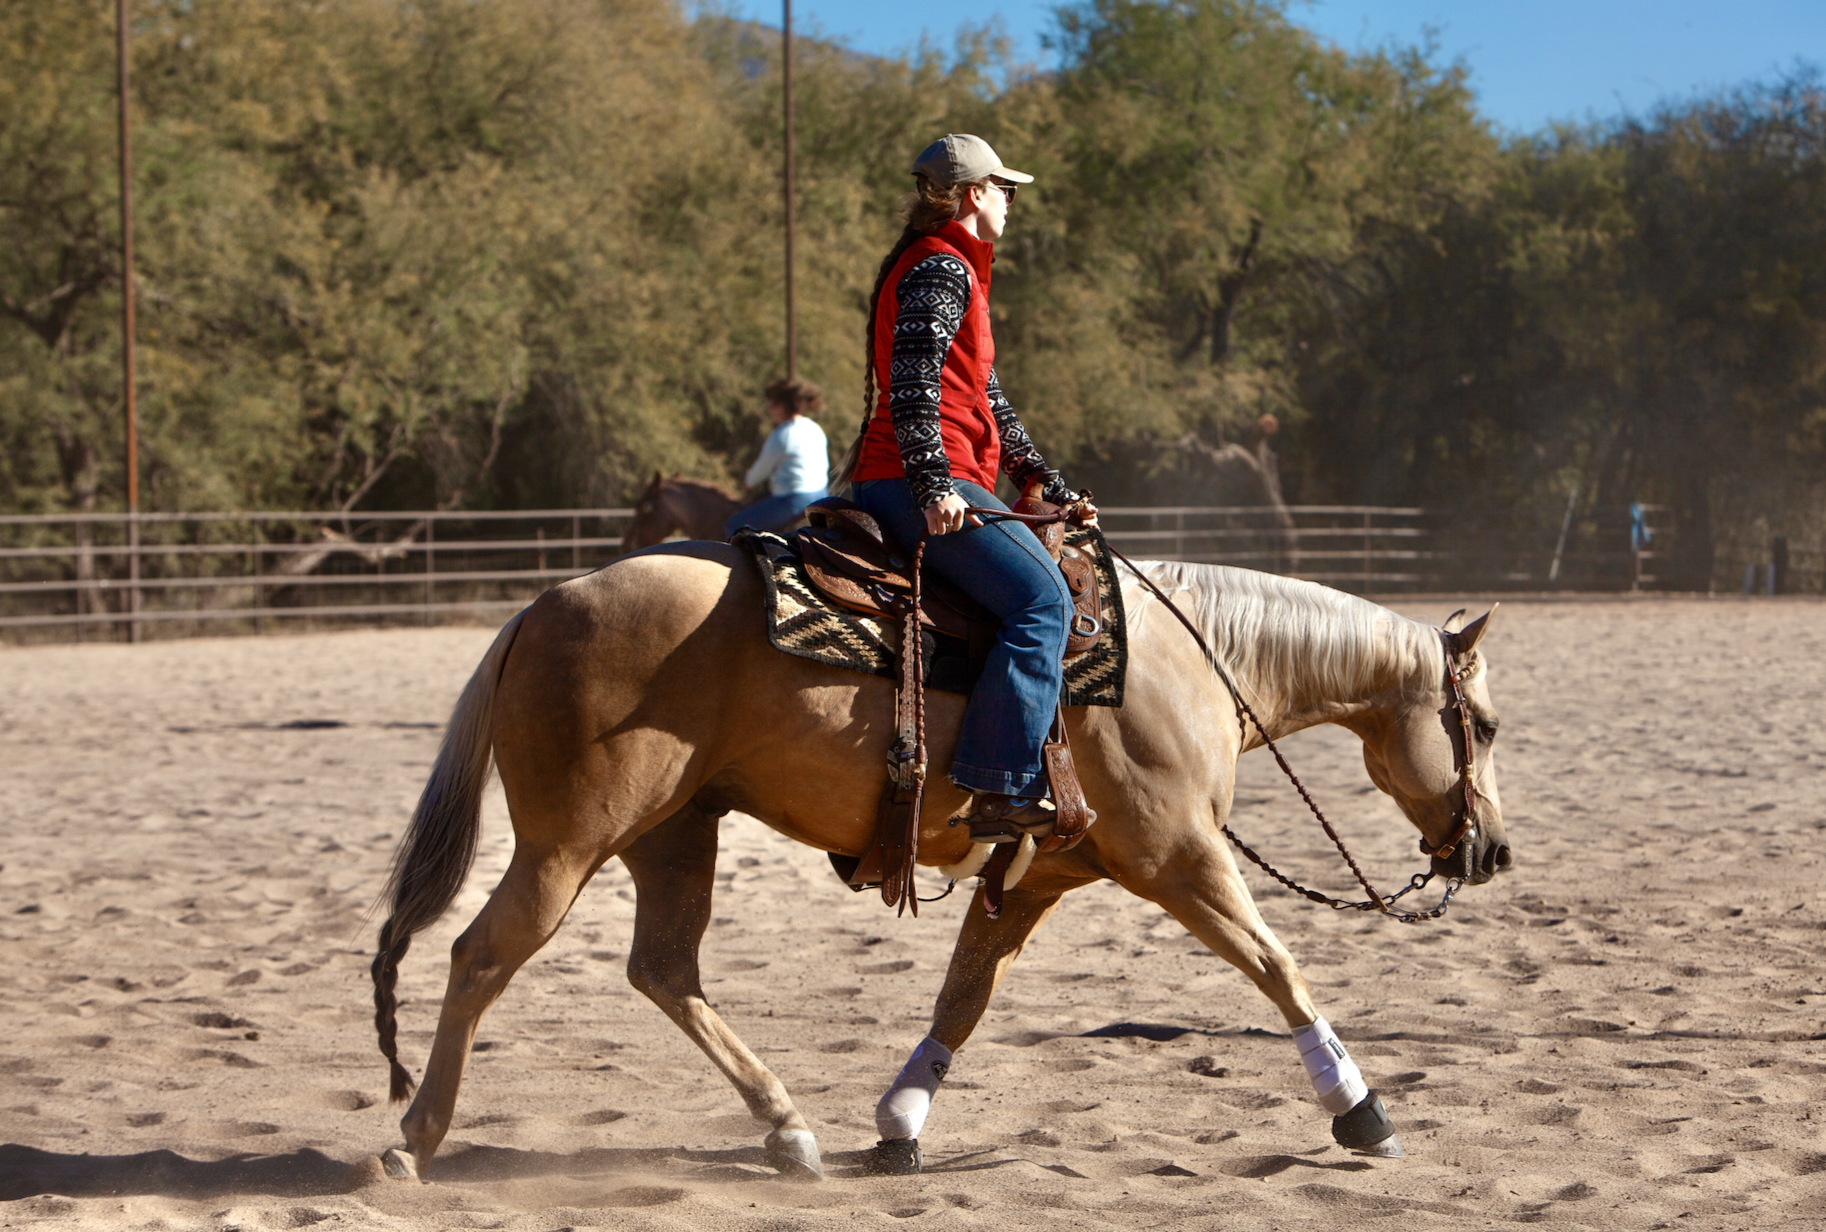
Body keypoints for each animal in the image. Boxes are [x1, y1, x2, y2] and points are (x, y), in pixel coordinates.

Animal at [367, 543, 1510, 1182]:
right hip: (567, 843)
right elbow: (1277, 966)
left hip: (674, 833)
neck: (1185, 664)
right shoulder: (1178, 856)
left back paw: (788, 1130)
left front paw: (898, 1124)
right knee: (480, 955)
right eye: (1487, 725)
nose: (1490, 849)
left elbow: (963, 995)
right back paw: (413, 1138)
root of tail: (536, 607)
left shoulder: (1037, 874)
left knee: (664, 969)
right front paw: (1362, 1110)